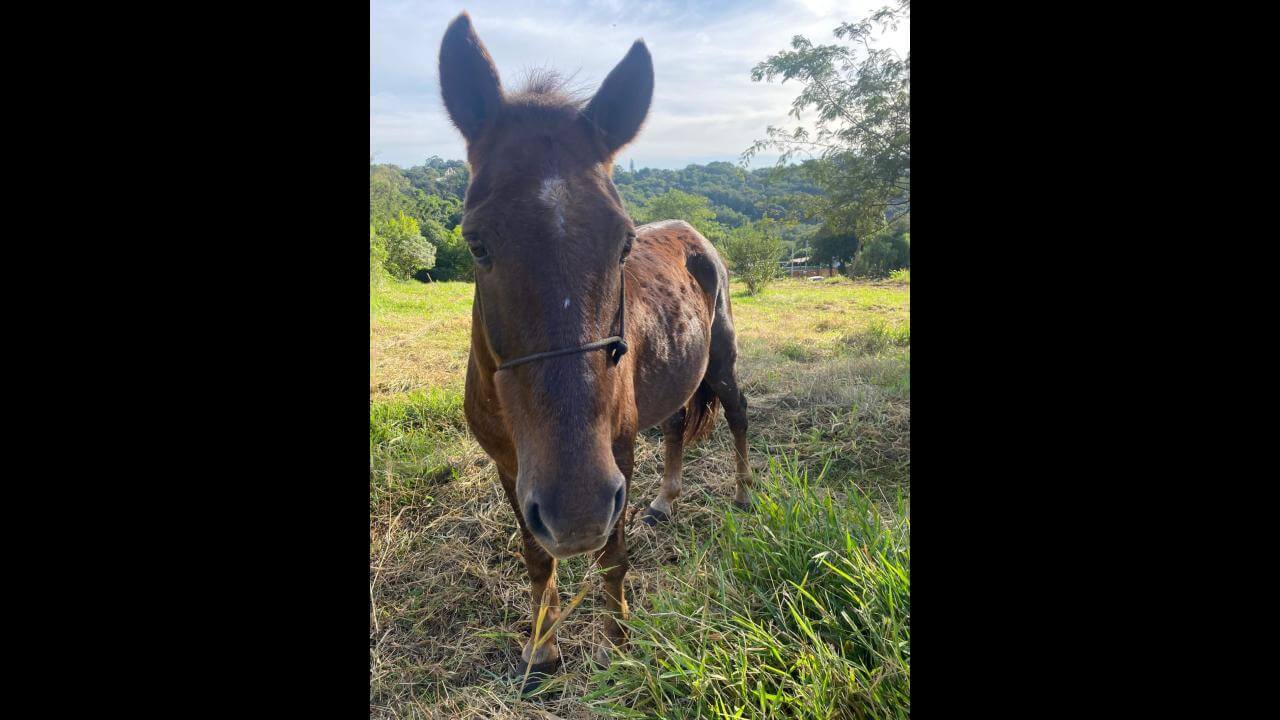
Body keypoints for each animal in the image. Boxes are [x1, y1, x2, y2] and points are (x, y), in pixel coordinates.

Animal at [438, 11, 753, 684]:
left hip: (720, 359)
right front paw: (542, 649)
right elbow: (537, 559)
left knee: (738, 414)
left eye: (623, 242)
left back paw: (743, 492)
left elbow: (612, 557)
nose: (575, 509)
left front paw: (618, 642)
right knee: (677, 423)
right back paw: (664, 501)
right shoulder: (511, 468)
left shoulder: (617, 459)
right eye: (476, 243)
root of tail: (697, 237)